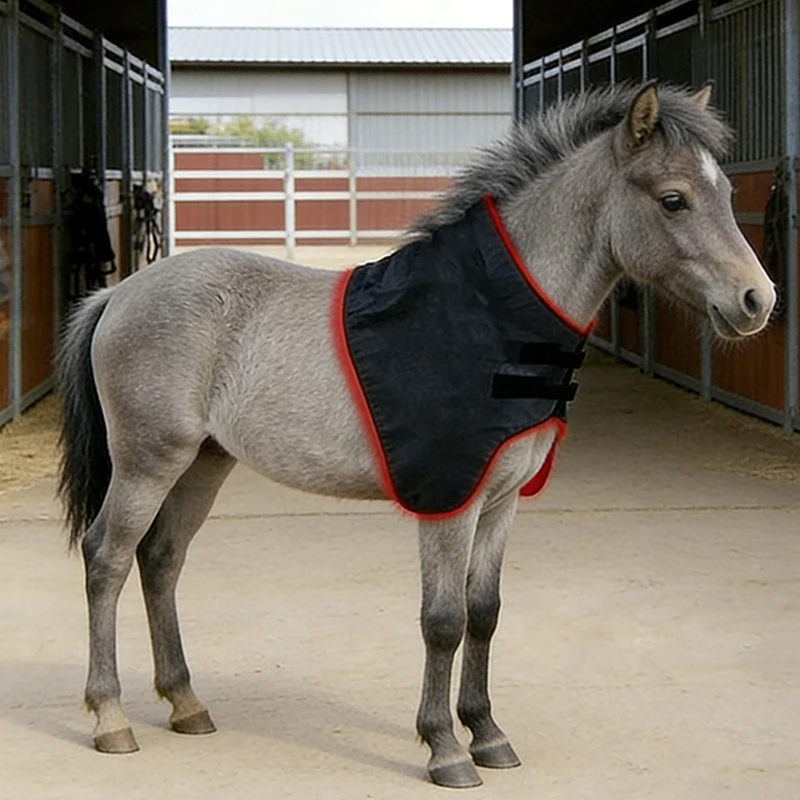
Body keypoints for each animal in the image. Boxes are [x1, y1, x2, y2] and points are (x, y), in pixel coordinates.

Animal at [56, 83, 775, 789]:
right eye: (673, 198)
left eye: (727, 193)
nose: (757, 301)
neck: (491, 318)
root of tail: (116, 296)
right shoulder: (452, 500)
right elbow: (444, 620)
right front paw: (445, 750)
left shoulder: (502, 501)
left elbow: (484, 611)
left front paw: (488, 734)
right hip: (148, 463)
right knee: (107, 558)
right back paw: (111, 718)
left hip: (204, 463)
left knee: (161, 559)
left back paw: (186, 704)